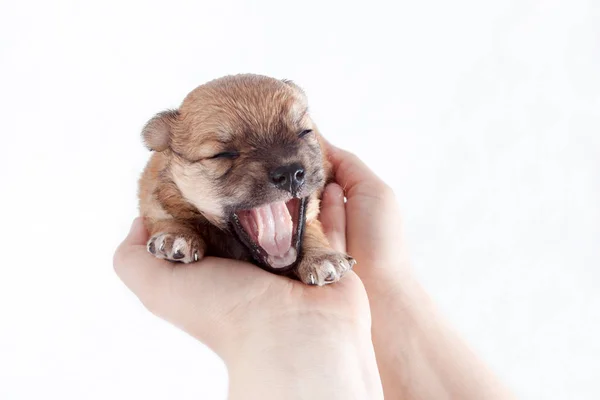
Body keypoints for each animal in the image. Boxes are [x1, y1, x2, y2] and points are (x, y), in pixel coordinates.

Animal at [138, 74, 354, 284]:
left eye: (304, 132)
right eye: (223, 155)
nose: (290, 173)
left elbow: (311, 227)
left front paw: (321, 256)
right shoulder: (153, 198)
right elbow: (166, 216)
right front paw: (176, 235)